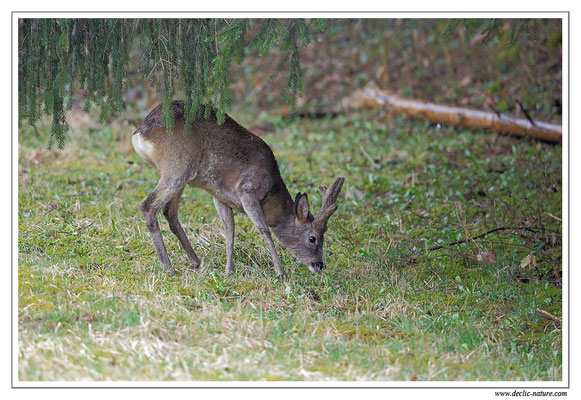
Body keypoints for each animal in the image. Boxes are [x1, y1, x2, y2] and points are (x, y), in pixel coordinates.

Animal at [131, 101, 344, 276]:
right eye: (312, 238)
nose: (319, 265)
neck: (271, 190)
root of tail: (141, 132)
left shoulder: (219, 196)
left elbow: (229, 230)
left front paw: (229, 271)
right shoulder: (247, 191)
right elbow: (263, 229)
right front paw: (280, 272)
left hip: (180, 174)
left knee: (169, 212)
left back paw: (196, 261)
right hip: (177, 166)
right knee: (148, 206)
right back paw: (169, 268)